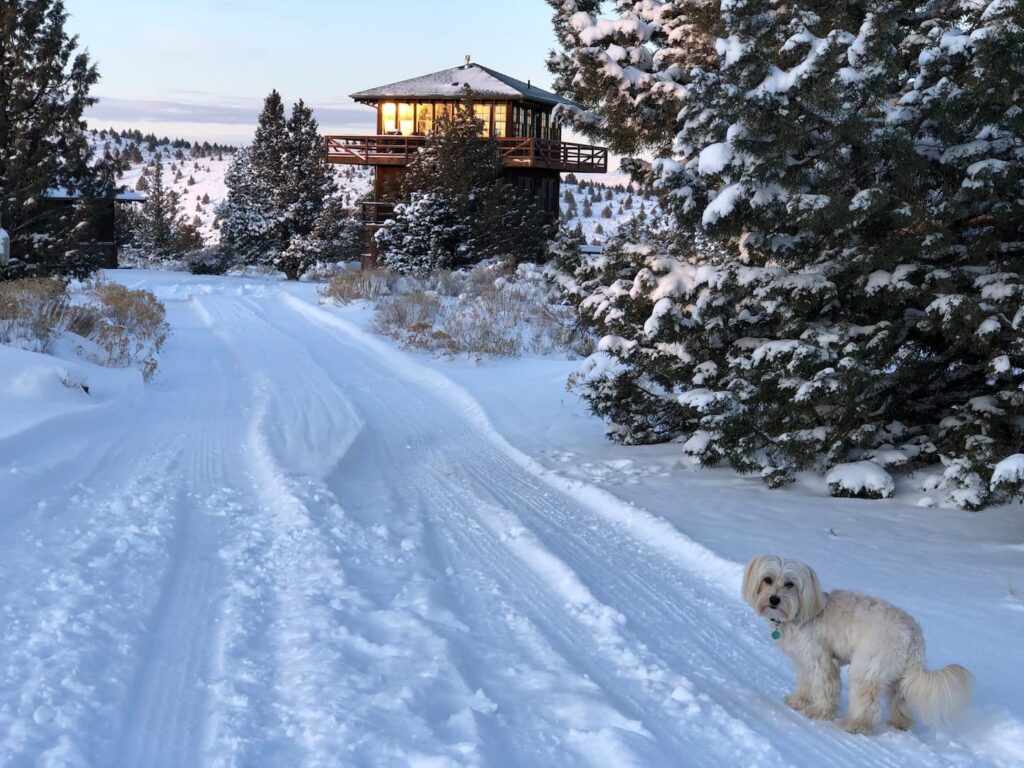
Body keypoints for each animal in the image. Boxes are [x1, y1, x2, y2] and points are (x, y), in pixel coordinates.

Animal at [745, 557, 966, 737]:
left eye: (790, 584)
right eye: (767, 579)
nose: (774, 599)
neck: (802, 611)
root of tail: (913, 635)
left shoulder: (821, 660)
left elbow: (824, 687)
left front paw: (820, 711)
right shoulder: (803, 660)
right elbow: (805, 683)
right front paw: (800, 701)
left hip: (867, 667)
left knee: (868, 703)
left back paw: (856, 725)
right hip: (898, 676)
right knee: (900, 700)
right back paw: (899, 723)